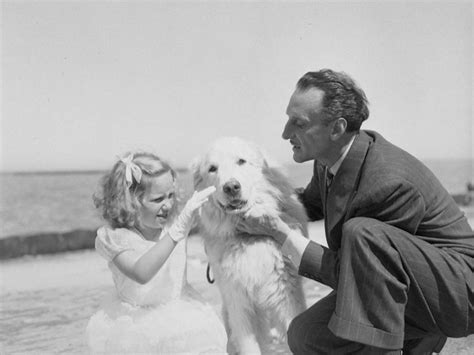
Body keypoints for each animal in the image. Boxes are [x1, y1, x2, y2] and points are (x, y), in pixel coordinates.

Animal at [193, 137, 308, 355]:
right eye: (212, 169)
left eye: (241, 161)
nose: (231, 187)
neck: (247, 238)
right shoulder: (238, 301)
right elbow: (249, 345)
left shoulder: (285, 295)